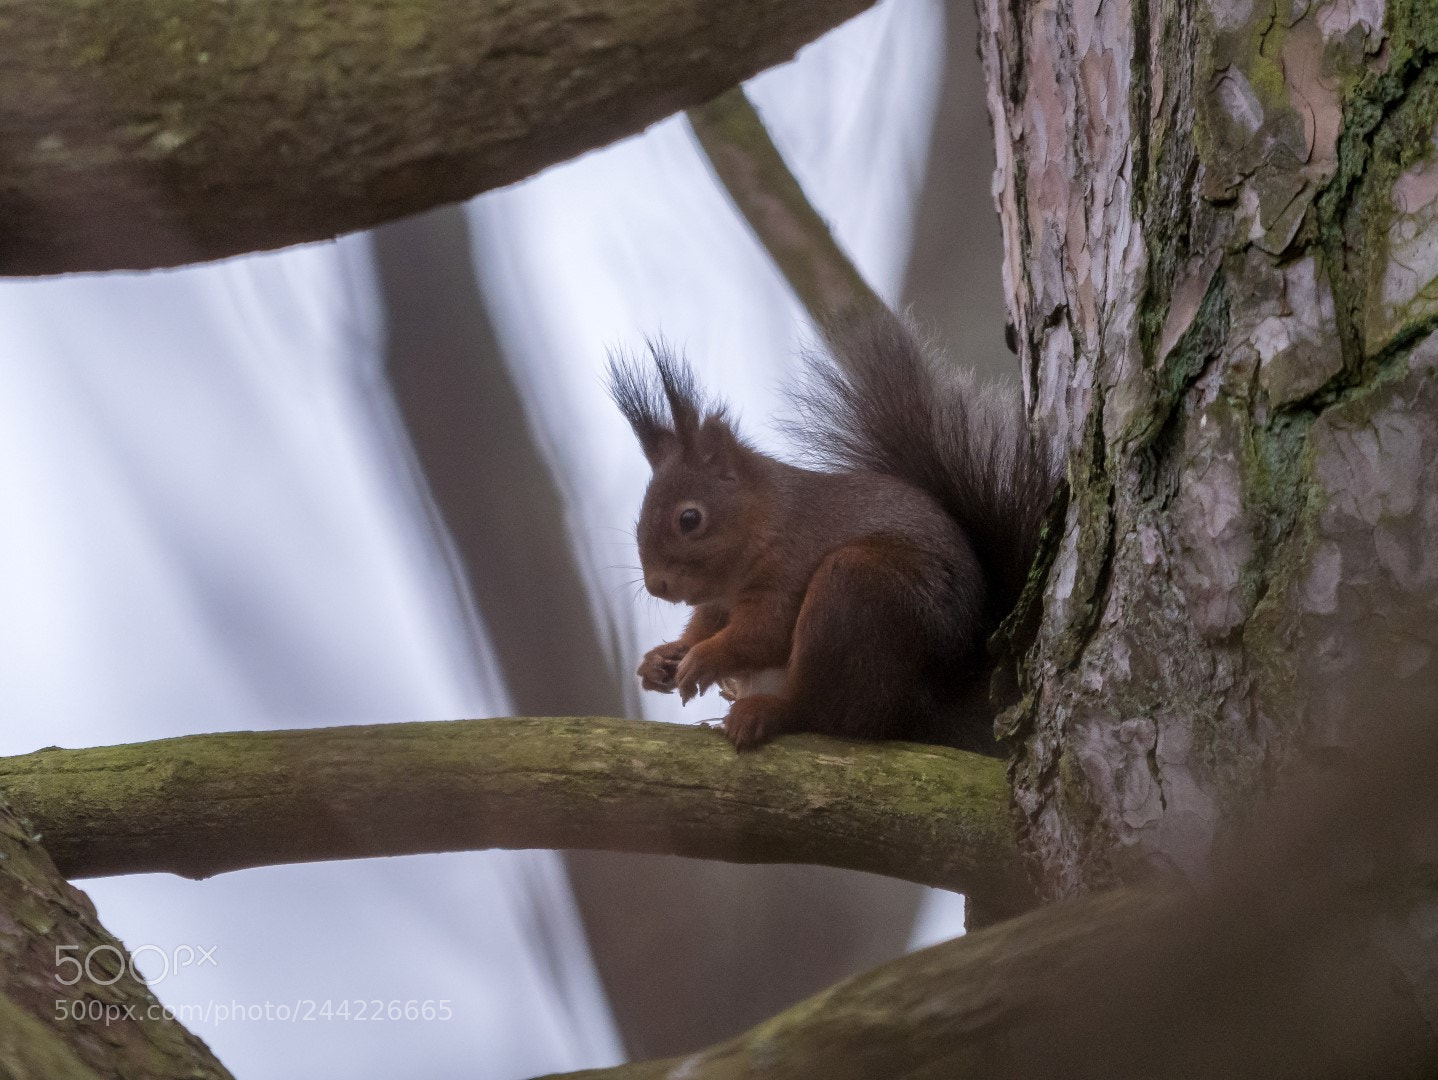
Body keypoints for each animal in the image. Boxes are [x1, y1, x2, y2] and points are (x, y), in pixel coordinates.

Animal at [609, 309, 1057, 754]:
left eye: (689, 519)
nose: (657, 585)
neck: (766, 519)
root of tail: (930, 710)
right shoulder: (718, 604)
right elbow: (704, 626)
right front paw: (662, 659)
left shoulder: (790, 564)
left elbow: (764, 633)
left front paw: (704, 657)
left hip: (853, 597)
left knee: (824, 712)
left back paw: (766, 711)